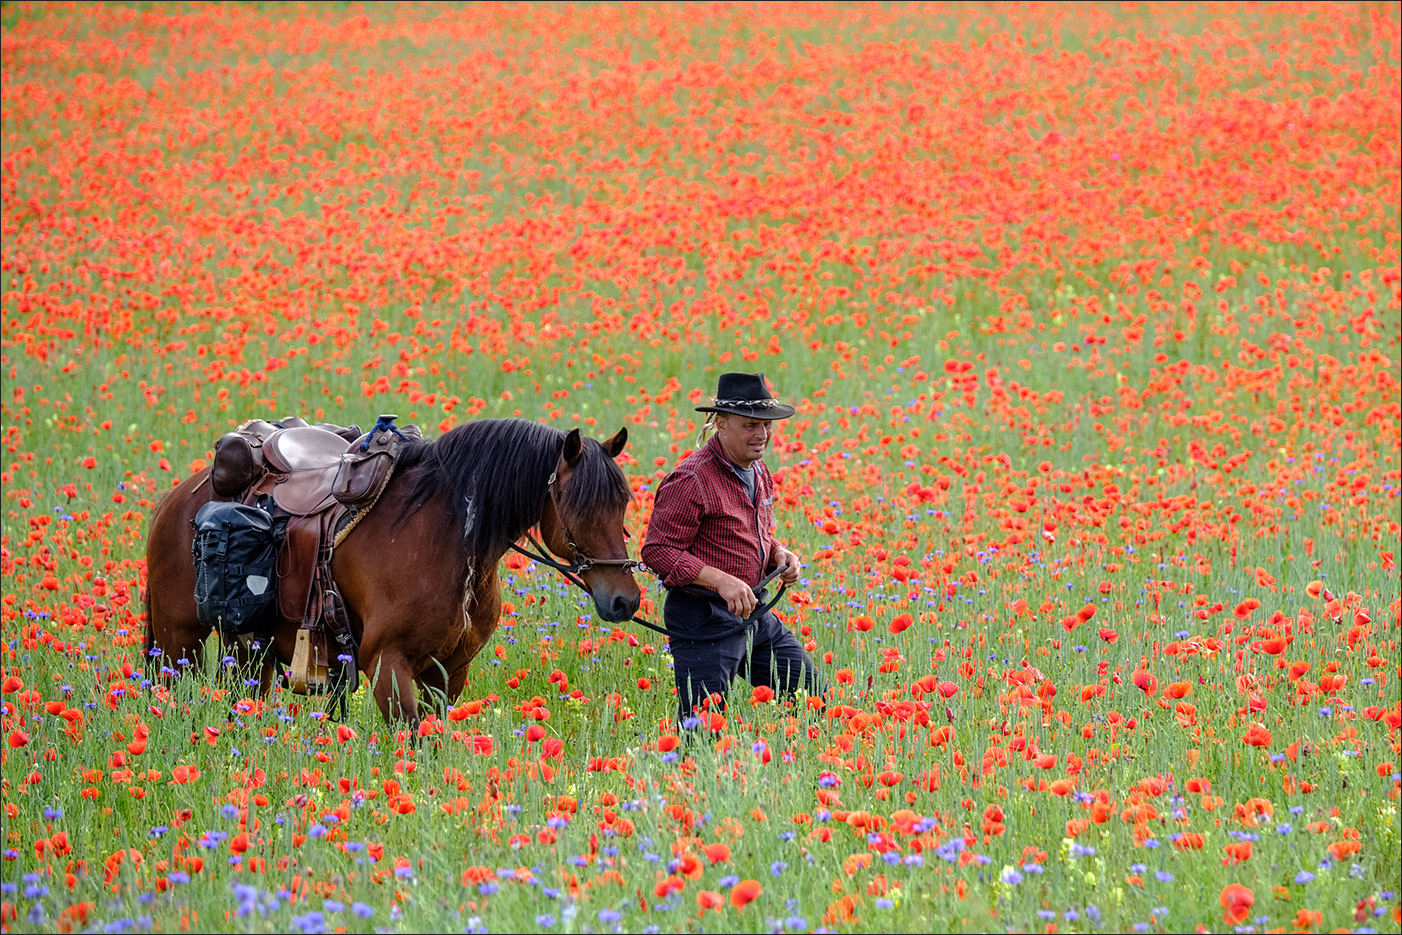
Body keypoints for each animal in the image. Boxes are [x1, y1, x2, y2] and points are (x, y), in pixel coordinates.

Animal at [143, 420, 642, 728]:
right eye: (580, 506)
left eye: (623, 503)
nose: (626, 600)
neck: (446, 537)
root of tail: (179, 497)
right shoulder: (387, 663)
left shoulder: (448, 671)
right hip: (177, 642)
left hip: (248, 652)